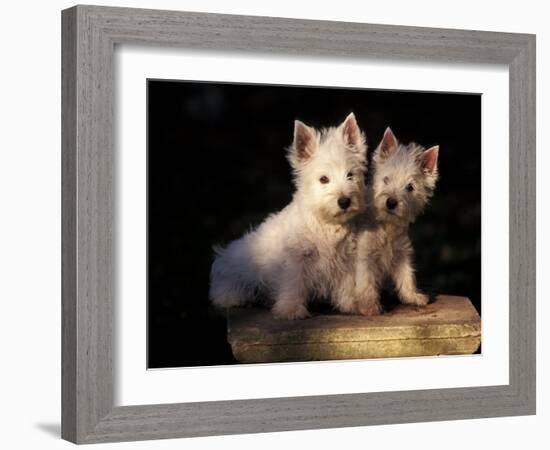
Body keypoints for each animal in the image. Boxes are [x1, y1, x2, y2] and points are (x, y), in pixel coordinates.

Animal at [211, 114, 370, 318]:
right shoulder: (297, 259)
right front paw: (291, 310)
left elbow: (348, 284)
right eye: (323, 179)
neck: (326, 223)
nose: (344, 201)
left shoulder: (346, 258)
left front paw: (351, 304)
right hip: (235, 272)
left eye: (350, 175)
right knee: (226, 291)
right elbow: (294, 284)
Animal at [356, 128, 442, 314]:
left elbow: (406, 275)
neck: (387, 226)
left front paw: (413, 296)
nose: (391, 202)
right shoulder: (365, 255)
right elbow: (366, 280)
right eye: (386, 179)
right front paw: (369, 306)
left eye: (410, 187)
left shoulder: (401, 252)